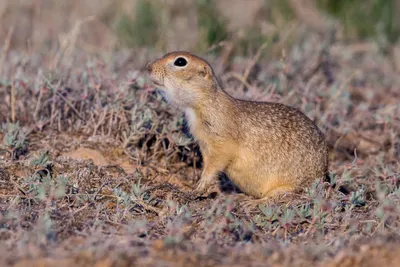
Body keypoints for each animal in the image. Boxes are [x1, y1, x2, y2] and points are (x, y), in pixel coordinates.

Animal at [147, 51, 328, 200]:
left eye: (180, 61)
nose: (149, 67)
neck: (202, 104)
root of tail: (323, 175)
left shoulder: (220, 141)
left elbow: (214, 165)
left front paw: (198, 189)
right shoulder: (205, 145)